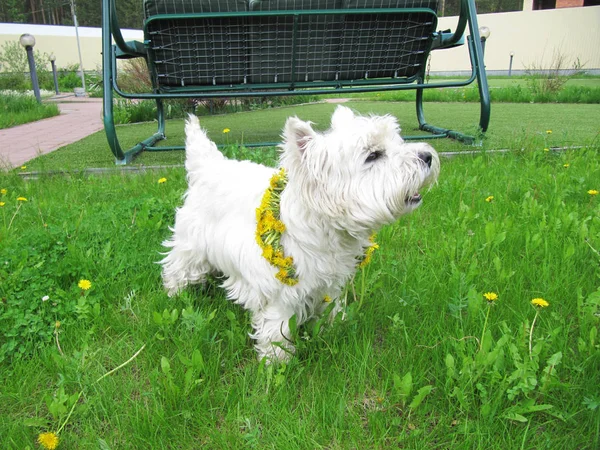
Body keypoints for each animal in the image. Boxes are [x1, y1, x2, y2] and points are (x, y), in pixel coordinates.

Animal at [162, 106, 438, 362]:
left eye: (396, 140)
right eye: (373, 155)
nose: (427, 156)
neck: (324, 226)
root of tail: (206, 166)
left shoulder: (328, 282)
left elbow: (329, 308)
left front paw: (334, 327)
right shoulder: (280, 292)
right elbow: (277, 328)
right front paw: (277, 362)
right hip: (191, 245)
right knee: (177, 269)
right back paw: (174, 296)